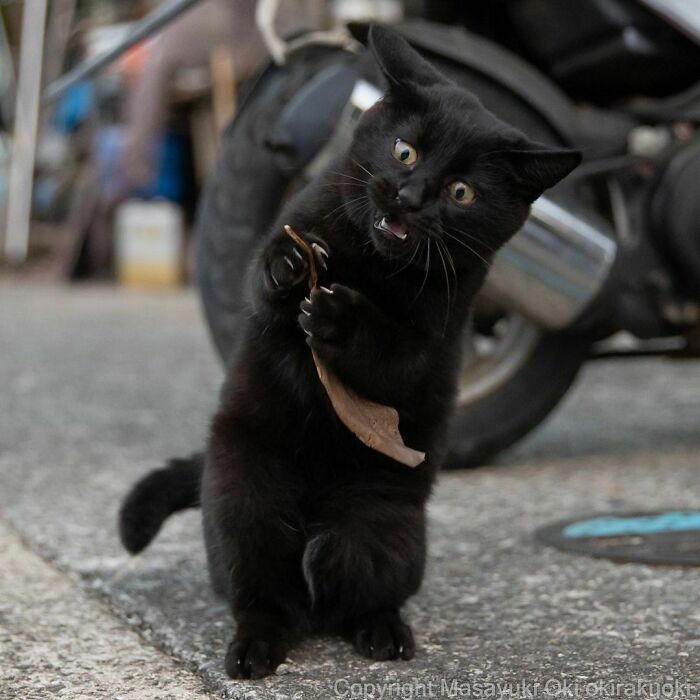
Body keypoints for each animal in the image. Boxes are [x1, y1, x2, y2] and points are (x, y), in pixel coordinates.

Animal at [119, 26, 580, 680]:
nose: (409, 195)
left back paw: (384, 633)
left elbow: (388, 356)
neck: (371, 264)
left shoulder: (433, 336)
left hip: (381, 529)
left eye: (461, 192)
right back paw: (254, 648)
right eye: (404, 151)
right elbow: (264, 287)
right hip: (243, 504)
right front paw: (291, 265)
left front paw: (339, 316)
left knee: (357, 593)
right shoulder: (284, 256)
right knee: (264, 597)